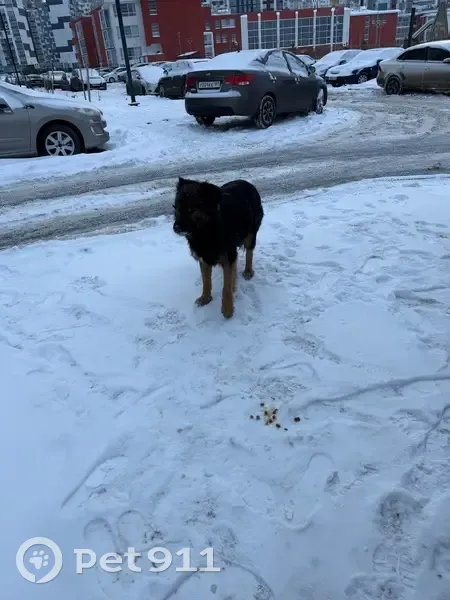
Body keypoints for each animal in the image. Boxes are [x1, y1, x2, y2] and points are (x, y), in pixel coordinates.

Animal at [173, 177, 264, 319]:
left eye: (192, 210)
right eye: (176, 208)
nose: (176, 228)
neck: (206, 231)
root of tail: (246, 182)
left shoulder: (227, 257)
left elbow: (225, 287)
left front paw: (227, 310)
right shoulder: (204, 258)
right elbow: (206, 281)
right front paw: (205, 298)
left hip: (251, 234)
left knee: (249, 253)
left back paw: (248, 271)